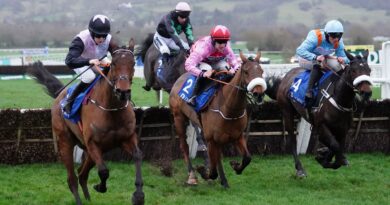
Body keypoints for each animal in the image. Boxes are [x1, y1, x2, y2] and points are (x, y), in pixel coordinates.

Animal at [27, 40, 145, 205]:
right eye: (114, 63)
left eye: (133, 63)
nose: (123, 92)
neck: (111, 109)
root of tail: (60, 96)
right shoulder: (93, 143)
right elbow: (104, 171)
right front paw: (100, 187)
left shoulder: (126, 138)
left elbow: (138, 156)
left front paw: (138, 195)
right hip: (66, 142)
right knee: (72, 178)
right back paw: (79, 199)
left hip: (89, 151)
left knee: (82, 174)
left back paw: (88, 198)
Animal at [169, 51, 266, 187]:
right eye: (246, 71)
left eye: (261, 71)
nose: (259, 94)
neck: (229, 109)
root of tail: (180, 78)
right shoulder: (211, 139)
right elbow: (213, 172)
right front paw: (203, 171)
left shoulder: (237, 136)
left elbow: (247, 158)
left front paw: (235, 166)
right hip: (179, 118)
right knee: (184, 147)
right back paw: (192, 175)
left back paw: (224, 181)